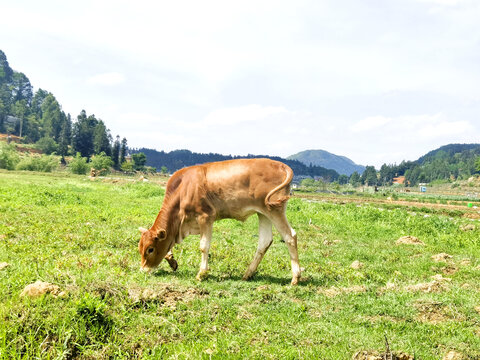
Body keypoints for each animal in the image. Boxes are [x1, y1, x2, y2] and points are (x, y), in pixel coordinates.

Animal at [138, 159, 300, 286]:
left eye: (150, 249)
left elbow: (203, 247)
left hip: (275, 210)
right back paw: (247, 274)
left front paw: (201, 274)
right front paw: (172, 261)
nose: (143, 269)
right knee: (265, 241)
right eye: (140, 248)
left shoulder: (206, 217)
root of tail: (281, 165)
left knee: (290, 236)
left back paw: (295, 278)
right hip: (263, 213)